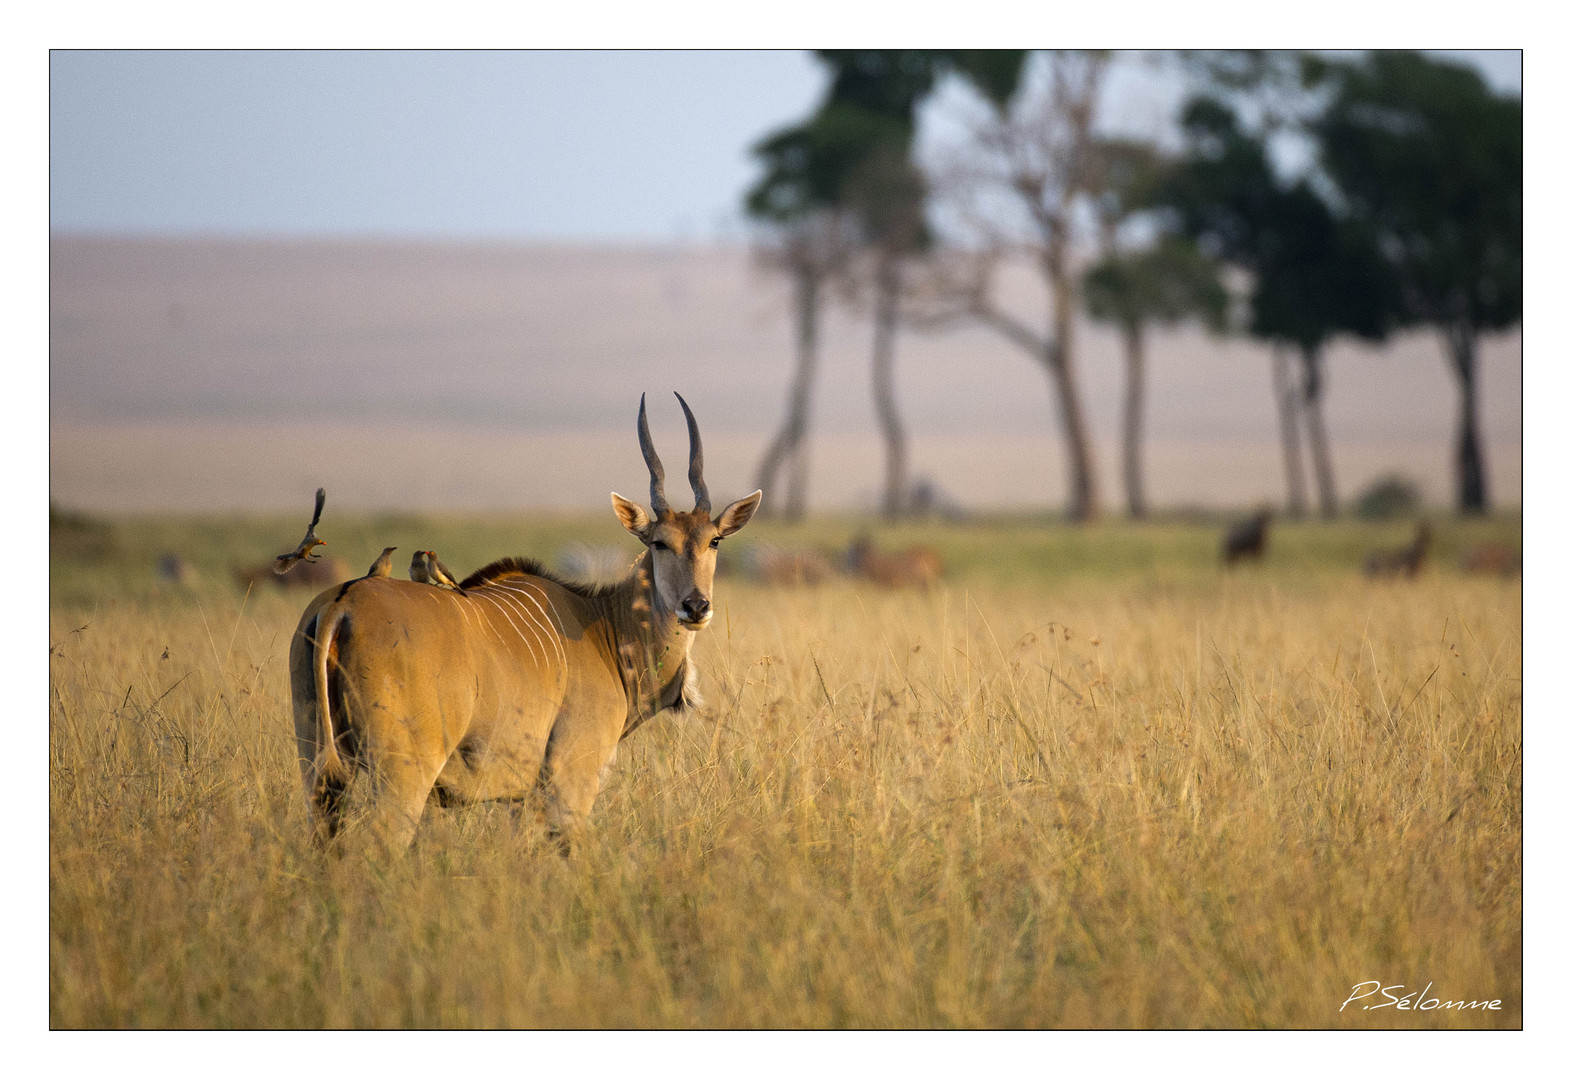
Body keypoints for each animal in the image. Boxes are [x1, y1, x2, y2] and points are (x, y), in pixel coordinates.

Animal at [293, 393, 767, 855]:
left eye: (715, 540)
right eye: (659, 543)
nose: (695, 606)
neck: (605, 627)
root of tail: (343, 602)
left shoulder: (522, 802)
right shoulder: (571, 782)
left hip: (320, 776)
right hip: (401, 778)